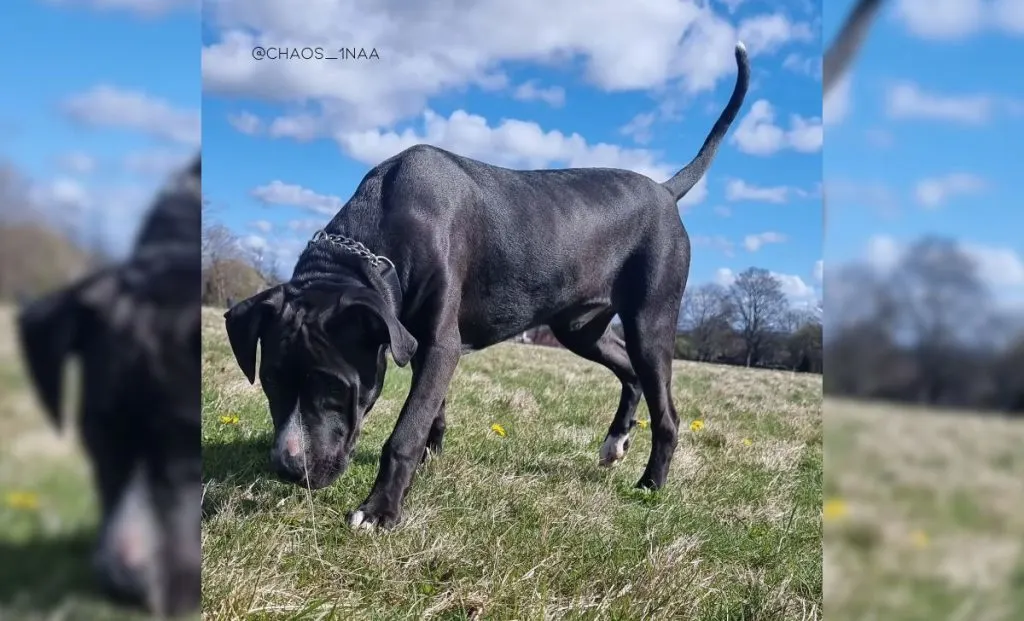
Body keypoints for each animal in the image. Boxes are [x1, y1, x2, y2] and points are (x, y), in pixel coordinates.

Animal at [224, 45, 749, 528]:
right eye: (270, 380)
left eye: (335, 387)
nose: (288, 468)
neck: (370, 246)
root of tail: (665, 190)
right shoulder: (421, 343)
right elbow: (431, 410)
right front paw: (430, 459)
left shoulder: (439, 341)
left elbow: (405, 431)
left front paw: (380, 511)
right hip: (581, 328)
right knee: (629, 371)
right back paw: (614, 442)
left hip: (650, 321)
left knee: (666, 411)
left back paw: (650, 485)